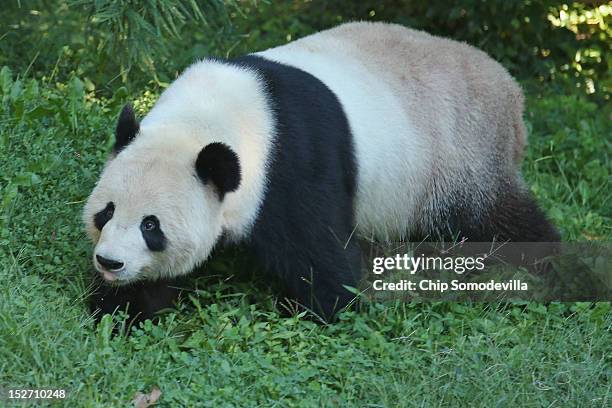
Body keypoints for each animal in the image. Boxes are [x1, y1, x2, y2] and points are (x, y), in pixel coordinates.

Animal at [85, 22, 560, 324]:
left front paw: (316, 309)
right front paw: (121, 308)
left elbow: (320, 254)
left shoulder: (291, 162)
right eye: (106, 213)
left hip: (459, 160)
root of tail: (512, 96)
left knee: (498, 220)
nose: (110, 261)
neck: (210, 119)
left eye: (151, 226)